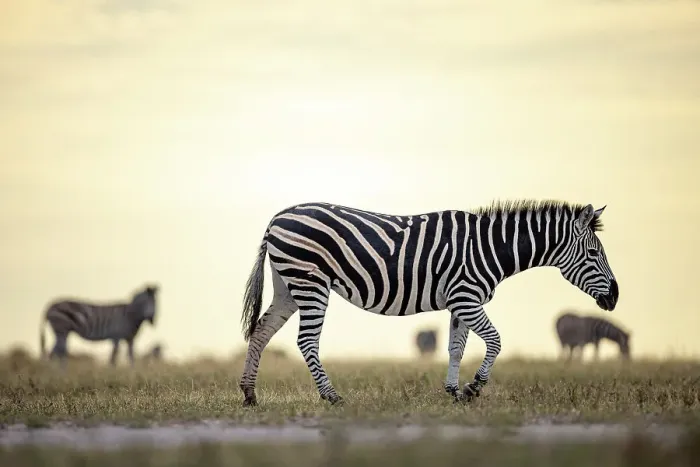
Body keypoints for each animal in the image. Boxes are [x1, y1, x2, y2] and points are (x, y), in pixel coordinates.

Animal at [238, 200, 618, 406]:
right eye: (593, 253)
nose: (615, 298)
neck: (491, 249)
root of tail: (277, 218)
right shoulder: (466, 299)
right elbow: (495, 341)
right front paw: (474, 387)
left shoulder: (460, 304)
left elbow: (456, 348)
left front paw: (454, 391)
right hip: (310, 280)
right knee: (306, 341)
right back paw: (331, 396)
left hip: (288, 285)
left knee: (261, 332)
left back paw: (249, 395)